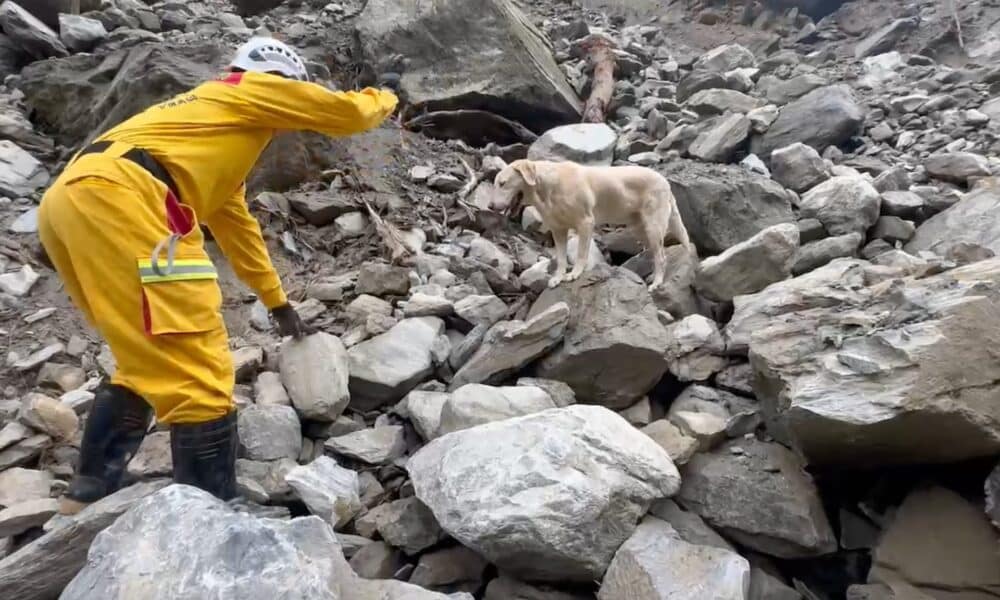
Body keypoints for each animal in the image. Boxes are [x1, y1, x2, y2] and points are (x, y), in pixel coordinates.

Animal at [492, 159, 696, 290]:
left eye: (502, 183)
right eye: (496, 184)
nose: (490, 206)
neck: (548, 187)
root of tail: (665, 181)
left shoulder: (585, 223)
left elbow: (581, 253)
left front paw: (575, 273)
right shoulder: (558, 230)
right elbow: (561, 258)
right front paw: (558, 277)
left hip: (653, 226)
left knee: (661, 256)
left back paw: (657, 283)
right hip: (640, 228)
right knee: (656, 253)